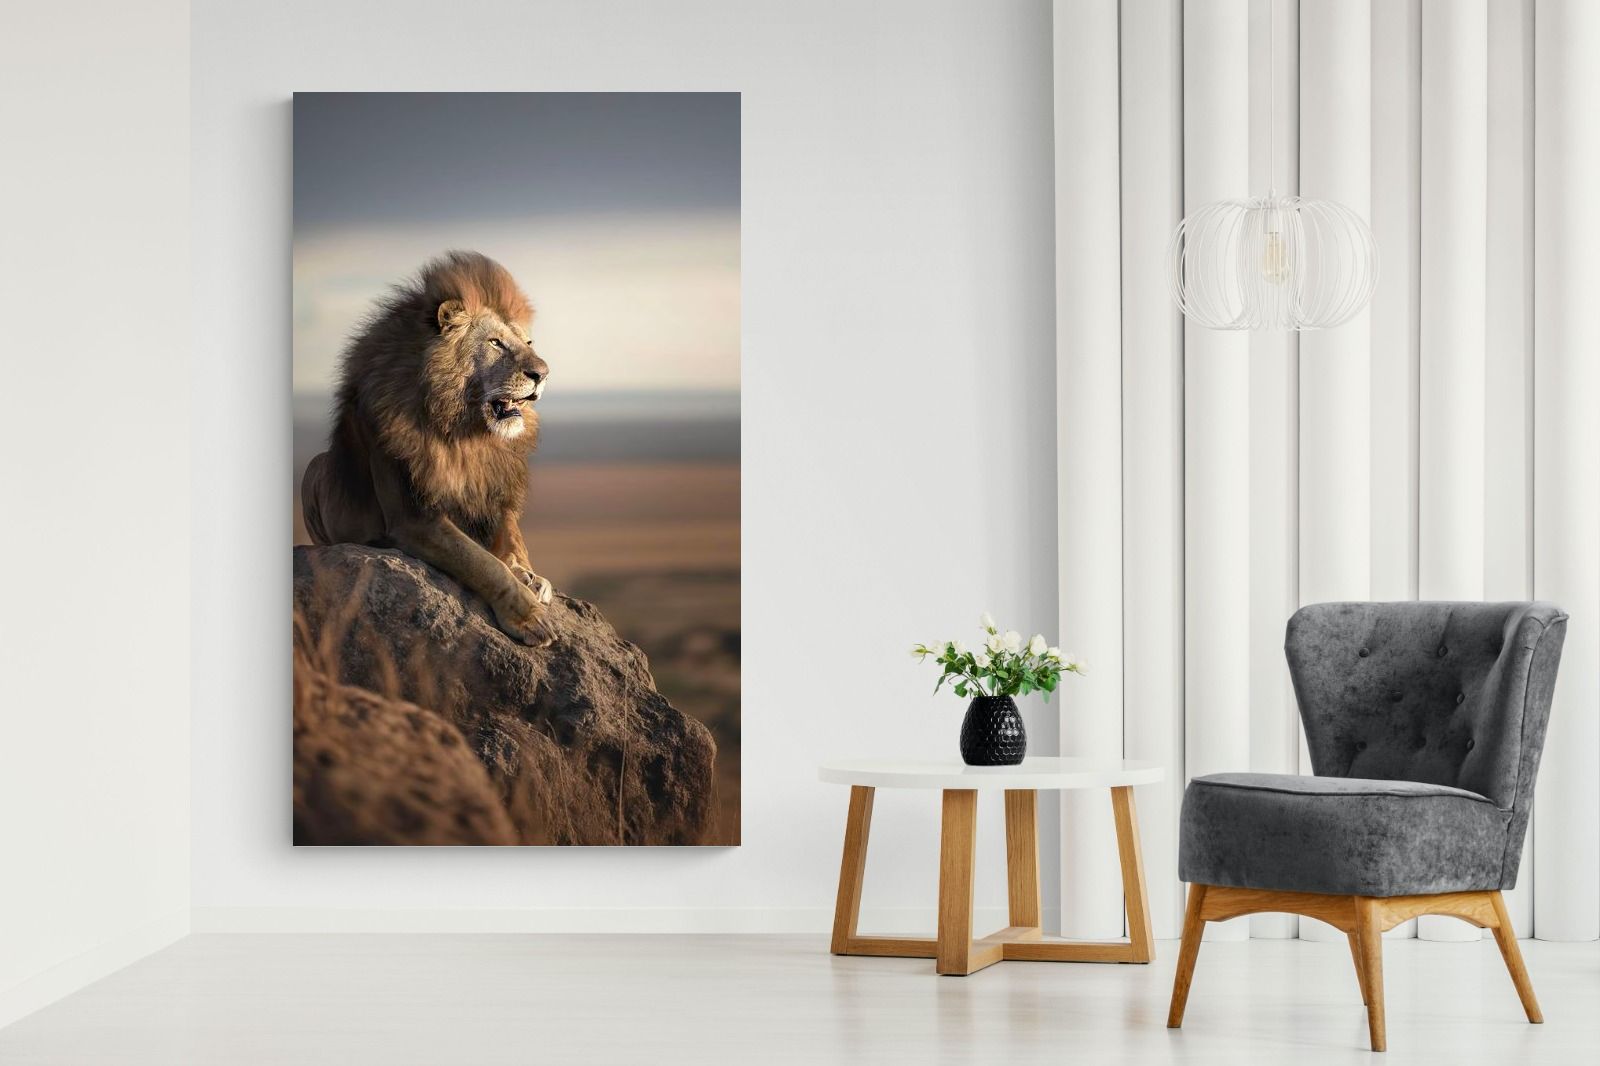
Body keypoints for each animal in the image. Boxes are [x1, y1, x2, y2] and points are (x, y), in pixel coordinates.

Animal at [301, 251, 557, 646]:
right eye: (495, 343)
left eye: (527, 344)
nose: (542, 374)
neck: (465, 430)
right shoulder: (413, 518)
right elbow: (482, 562)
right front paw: (529, 616)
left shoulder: (494, 491)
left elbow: (512, 540)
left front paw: (529, 575)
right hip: (313, 469)